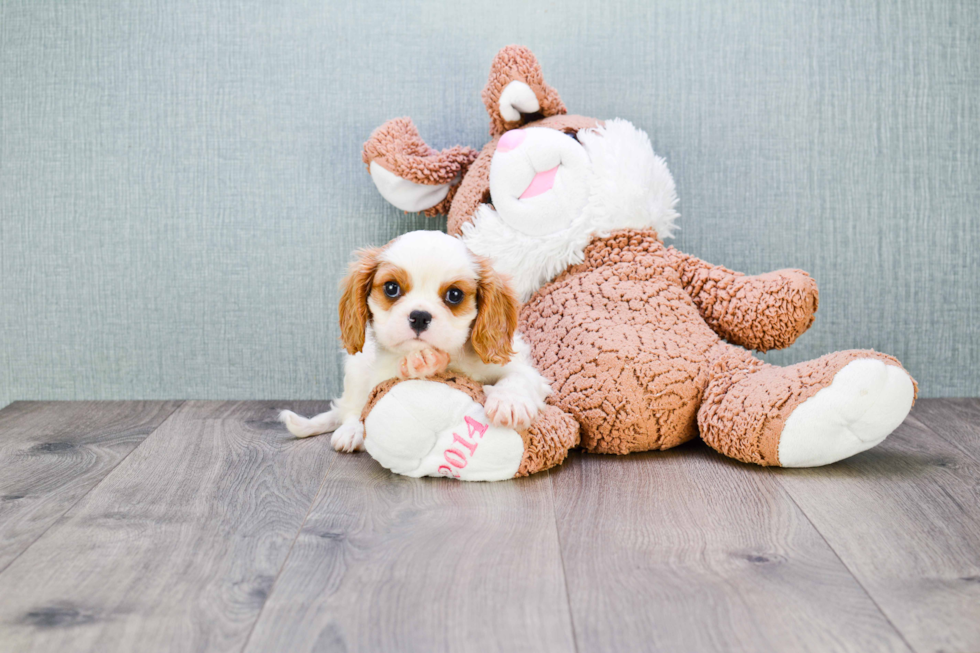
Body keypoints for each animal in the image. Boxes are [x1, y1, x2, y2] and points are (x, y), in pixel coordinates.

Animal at [280, 230, 552, 454]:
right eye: (391, 288)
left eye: (455, 295)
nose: (420, 316)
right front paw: (420, 362)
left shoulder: (520, 368)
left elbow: (518, 378)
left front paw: (510, 402)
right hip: (356, 370)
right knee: (351, 408)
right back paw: (352, 431)